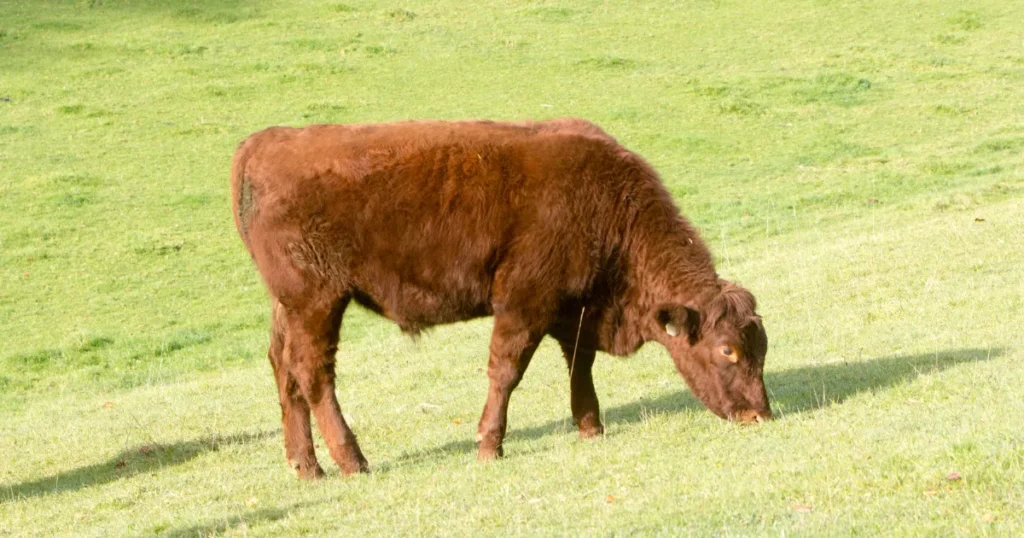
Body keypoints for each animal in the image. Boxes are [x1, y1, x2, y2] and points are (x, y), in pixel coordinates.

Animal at [230, 118, 770, 477]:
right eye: (727, 349)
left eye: (762, 349)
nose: (759, 415)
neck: (609, 203)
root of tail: (265, 141)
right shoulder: (524, 302)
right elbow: (506, 371)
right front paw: (490, 445)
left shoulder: (574, 308)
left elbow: (580, 362)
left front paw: (590, 425)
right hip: (318, 302)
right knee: (314, 374)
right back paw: (352, 460)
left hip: (290, 307)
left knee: (284, 368)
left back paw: (306, 466)